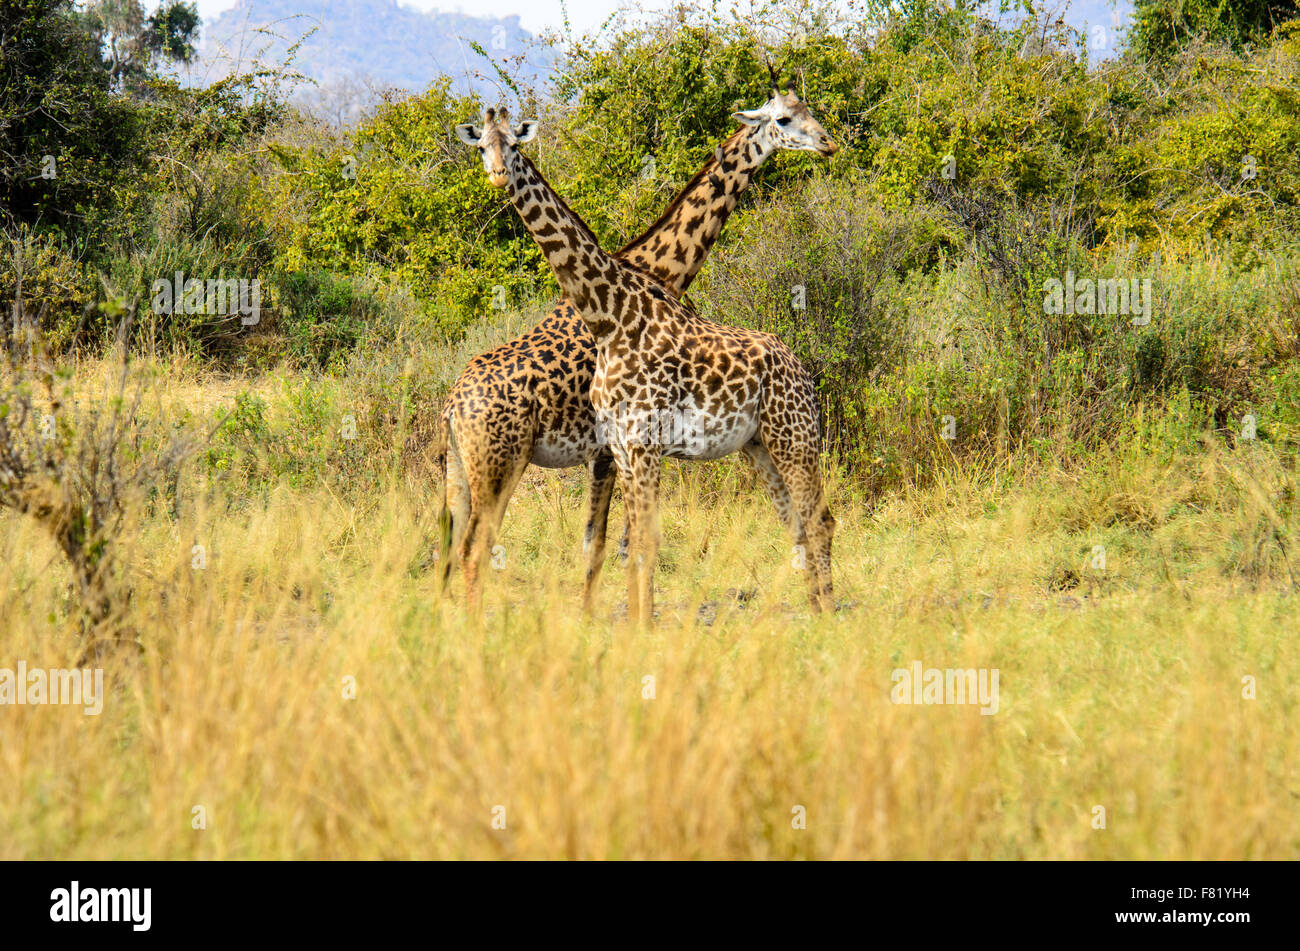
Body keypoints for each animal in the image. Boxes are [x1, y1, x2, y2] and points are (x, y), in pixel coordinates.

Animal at [441, 90, 837, 608]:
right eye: (785, 119)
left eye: (810, 113)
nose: (827, 143)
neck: (656, 269)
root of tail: (450, 405)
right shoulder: (613, 448)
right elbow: (611, 544)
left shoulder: (618, 448)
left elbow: (605, 544)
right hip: (496, 463)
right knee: (471, 548)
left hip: (464, 469)